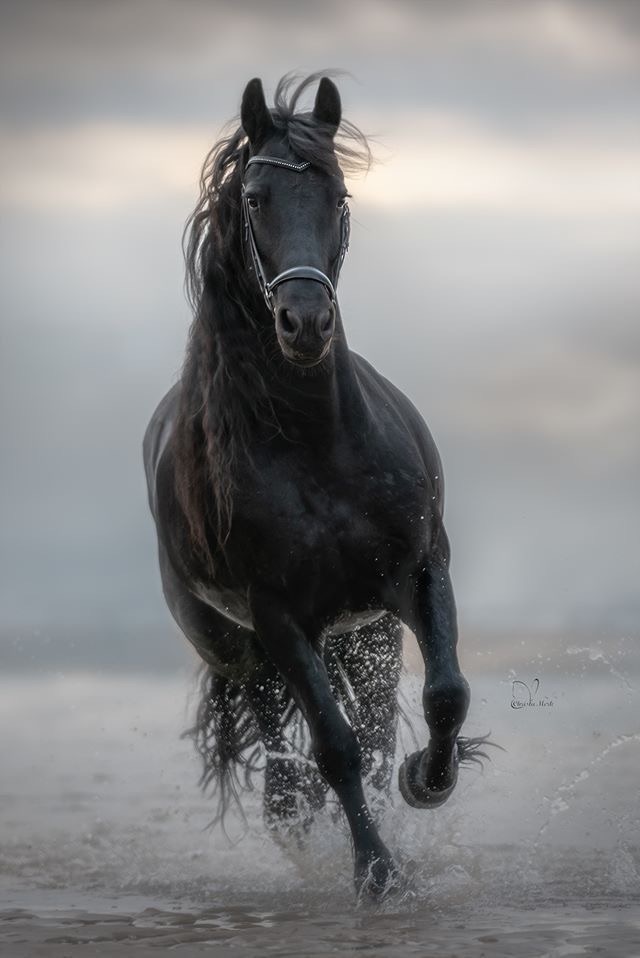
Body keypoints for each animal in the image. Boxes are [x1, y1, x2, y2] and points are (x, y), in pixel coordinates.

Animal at [143, 73, 484, 898]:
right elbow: (334, 747)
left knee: (375, 723)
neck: (316, 447)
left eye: (337, 194)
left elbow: (445, 696)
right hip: (248, 654)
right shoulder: (277, 619)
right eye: (256, 198)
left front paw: (428, 782)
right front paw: (377, 874)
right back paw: (306, 827)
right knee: (288, 758)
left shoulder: (419, 572)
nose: (305, 321)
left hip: (366, 635)